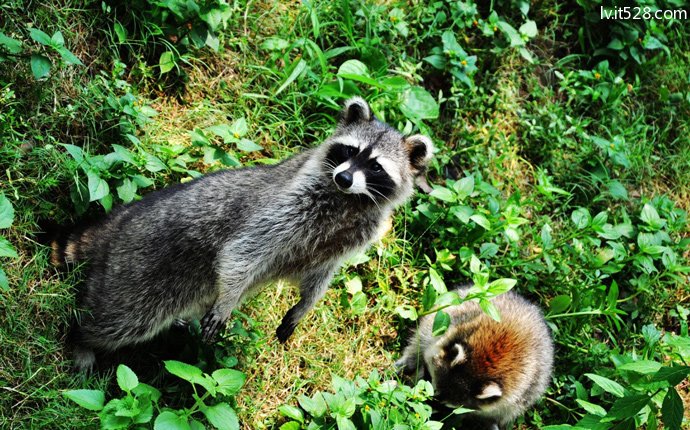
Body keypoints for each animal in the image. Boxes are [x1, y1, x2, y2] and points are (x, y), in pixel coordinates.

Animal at [53, 97, 430, 370]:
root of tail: (119, 221)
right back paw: (81, 339)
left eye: (375, 166)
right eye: (350, 151)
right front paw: (229, 298)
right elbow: (244, 249)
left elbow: (319, 274)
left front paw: (305, 305)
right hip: (135, 270)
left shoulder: (349, 236)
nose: (344, 177)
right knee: (116, 319)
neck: (350, 200)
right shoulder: (288, 203)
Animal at [396, 288, 552, 428]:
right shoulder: (452, 322)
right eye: (429, 380)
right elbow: (421, 339)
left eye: (446, 405)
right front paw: (408, 363)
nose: (420, 407)